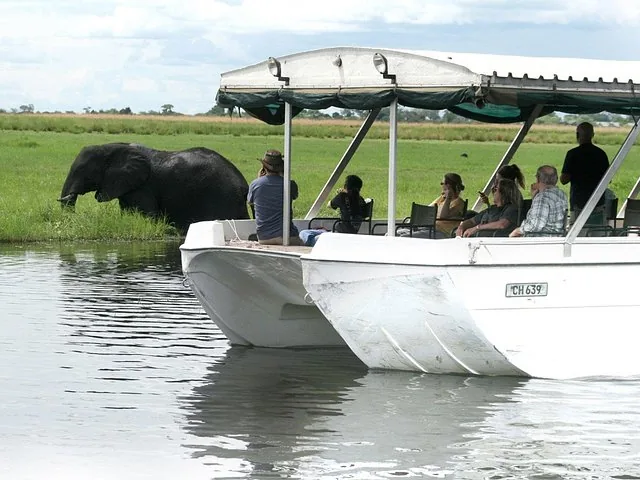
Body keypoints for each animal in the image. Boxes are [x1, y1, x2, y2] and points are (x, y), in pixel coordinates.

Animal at [59, 143, 250, 232]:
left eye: (85, 173)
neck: (112, 148)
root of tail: (244, 185)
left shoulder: (144, 187)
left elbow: (148, 215)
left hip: (222, 197)